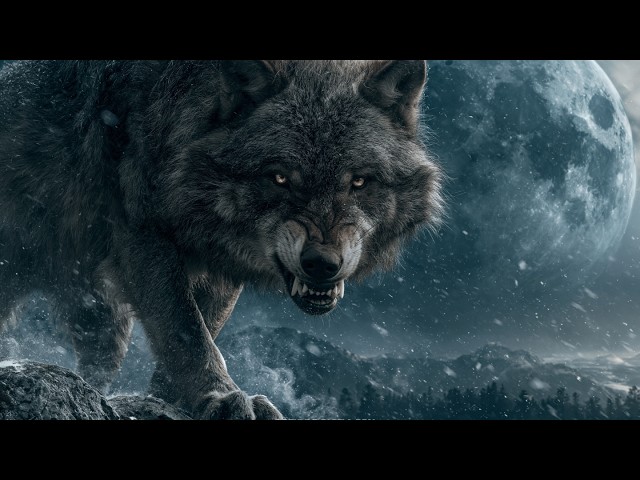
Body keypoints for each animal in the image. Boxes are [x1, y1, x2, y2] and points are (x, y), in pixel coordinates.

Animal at [0, 60, 443, 419]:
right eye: (279, 178)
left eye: (359, 182)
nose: (322, 263)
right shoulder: (143, 235)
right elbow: (185, 331)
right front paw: (219, 396)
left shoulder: (222, 261)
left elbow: (204, 326)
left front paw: (176, 400)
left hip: (101, 320)